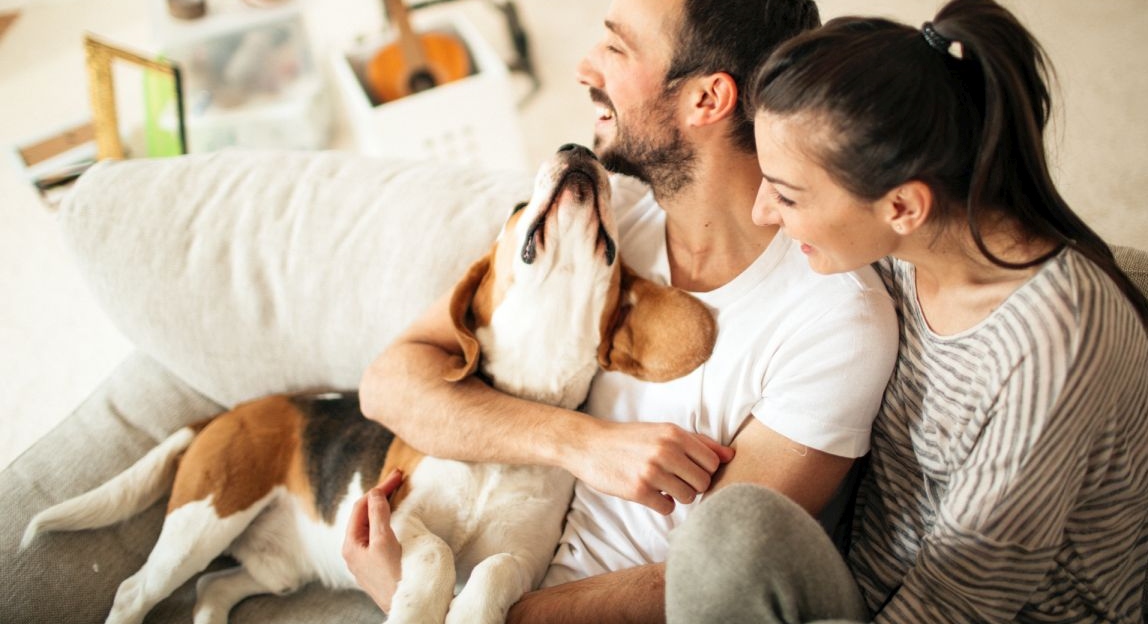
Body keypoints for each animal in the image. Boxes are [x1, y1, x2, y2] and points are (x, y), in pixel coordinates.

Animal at [22, 142, 711, 624]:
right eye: (517, 209)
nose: (578, 148)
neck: (516, 414)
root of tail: (230, 413)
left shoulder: (525, 559)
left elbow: (490, 569)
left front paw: (469, 611)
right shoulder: (393, 511)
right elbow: (436, 554)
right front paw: (417, 606)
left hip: (271, 568)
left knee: (214, 587)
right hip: (204, 519)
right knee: (135, 590)